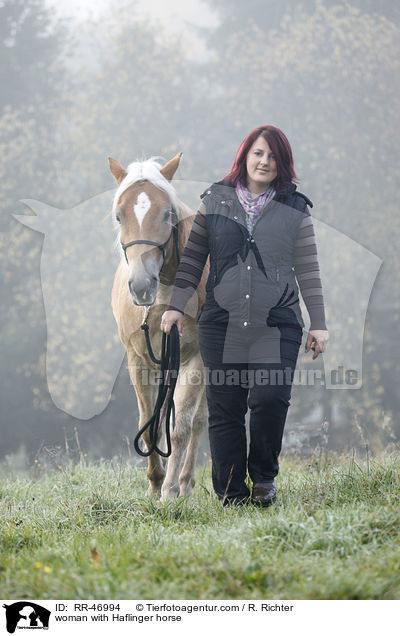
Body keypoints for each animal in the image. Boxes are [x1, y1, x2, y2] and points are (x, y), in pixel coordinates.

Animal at [109, 152, 209, 500]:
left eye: (167, 214)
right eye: (119, 217)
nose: (141, 286)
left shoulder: (197, 360)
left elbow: (181, 427)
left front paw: (169, 490)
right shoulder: (139, 360)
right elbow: (149, 424)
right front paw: (154, 483)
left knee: (198, 421)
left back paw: (185, 482)